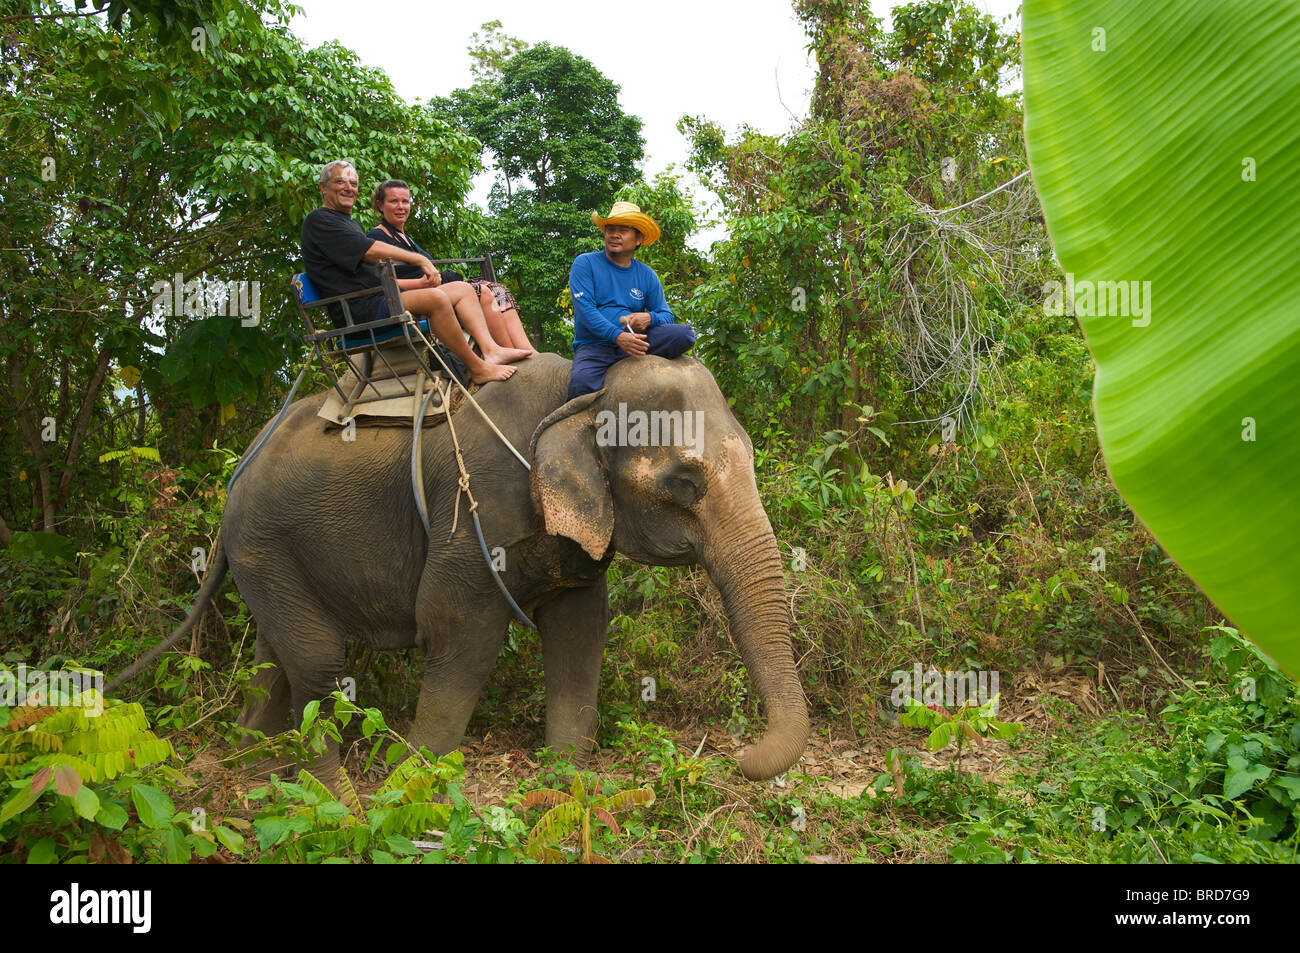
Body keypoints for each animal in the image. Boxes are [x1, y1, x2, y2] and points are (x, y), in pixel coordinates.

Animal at [114, 348, 800, 780]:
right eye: (685, 483)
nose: (736, 755)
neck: (583, 387)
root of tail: (237, 472)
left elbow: (581, 626)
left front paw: (567, 776)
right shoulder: (475, 508)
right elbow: (456, 625)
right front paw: (408, 775)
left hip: (268, 555)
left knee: (274, 655)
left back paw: (257, 765)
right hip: (263, 540)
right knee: (316, 661)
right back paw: (322, 785)